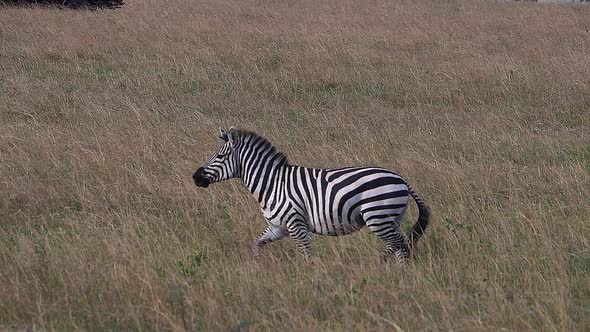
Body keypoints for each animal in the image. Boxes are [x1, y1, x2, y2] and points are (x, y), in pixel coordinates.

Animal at [194, 127, 430, 264]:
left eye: (220, 156)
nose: (195, 177)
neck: (272, 184)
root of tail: (401, 179)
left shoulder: (295, 224)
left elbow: (308, 256)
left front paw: (312, 280)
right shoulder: (278, 227)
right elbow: (257, 243)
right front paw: (258, 266)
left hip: (378, 216)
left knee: (400, 245)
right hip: (391, 218)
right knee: (398, 246)